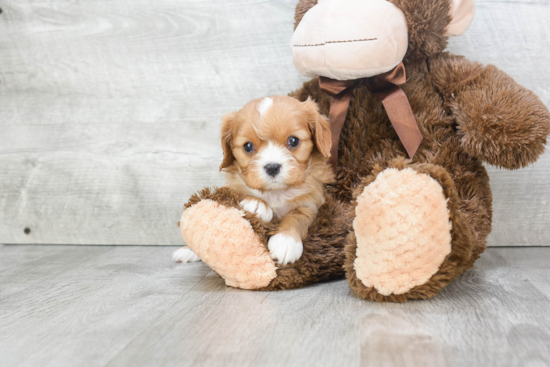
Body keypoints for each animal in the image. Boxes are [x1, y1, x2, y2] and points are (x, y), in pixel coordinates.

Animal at [175, 96, 334, 266]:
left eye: (293, 141)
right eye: (248, 146)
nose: (272, 167)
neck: (275, 193)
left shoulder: (310, 203)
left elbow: (298, 217)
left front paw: (285, 241)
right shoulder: (231, 186)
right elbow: (237, 191)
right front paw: (257, 203)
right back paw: (187, 251)